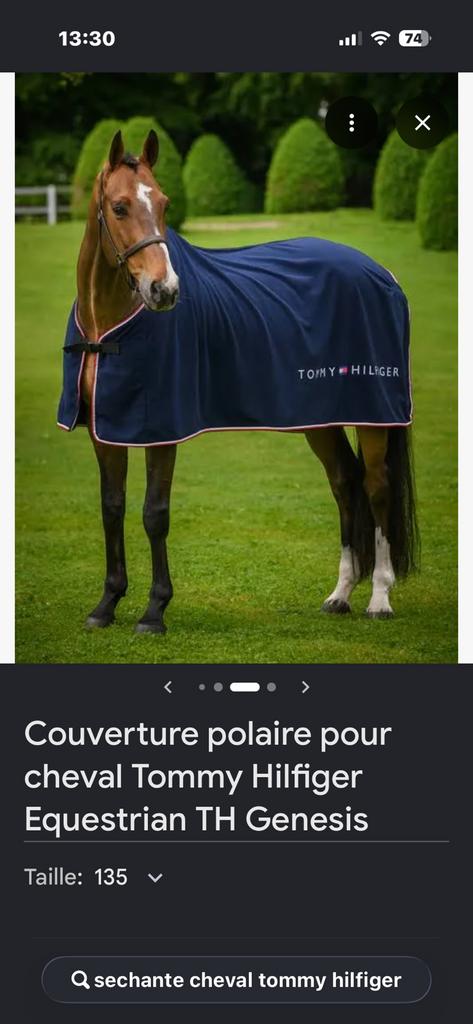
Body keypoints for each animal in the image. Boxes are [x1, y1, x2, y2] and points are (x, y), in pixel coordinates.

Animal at [59, 129, 418, 634]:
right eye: (120, 206)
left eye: (165, 203)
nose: (164, 290)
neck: (108, 326)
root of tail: (383, 275)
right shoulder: (104, 429)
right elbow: (112, 508)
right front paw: (106, 604)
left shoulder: (161, 431)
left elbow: (154, 513)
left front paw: (154, 611)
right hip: (319, 417)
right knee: (344, 482)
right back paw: (340, 594)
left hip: (374, 415)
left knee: (377, 486)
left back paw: (380, 598)